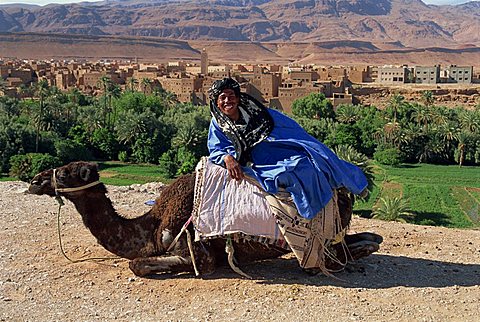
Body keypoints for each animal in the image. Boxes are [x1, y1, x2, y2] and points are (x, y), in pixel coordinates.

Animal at [29, 162, 382, 278]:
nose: (35, 180)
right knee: (368, 239)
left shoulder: (196, 252)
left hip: (321, 240)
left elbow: (137, 264)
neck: (151, 227)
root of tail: (344, 192)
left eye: (65, 172)